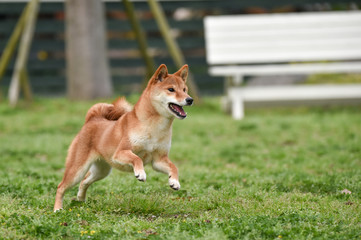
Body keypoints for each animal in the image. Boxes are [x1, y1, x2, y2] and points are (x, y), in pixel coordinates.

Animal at [52, 64, 191, 212]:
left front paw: (174, 181)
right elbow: (137, 159)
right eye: (171, 89)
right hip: (77, 169)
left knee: (84, 181)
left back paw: (81, 199)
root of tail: (91, 120)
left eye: (184, 90)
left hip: (101, 171)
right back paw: (57, 209)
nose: (190, 99)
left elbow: (174, 167)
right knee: (61, 186)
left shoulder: (159, 160)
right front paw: (140, 173)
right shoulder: (120, 152)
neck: (154, 127)